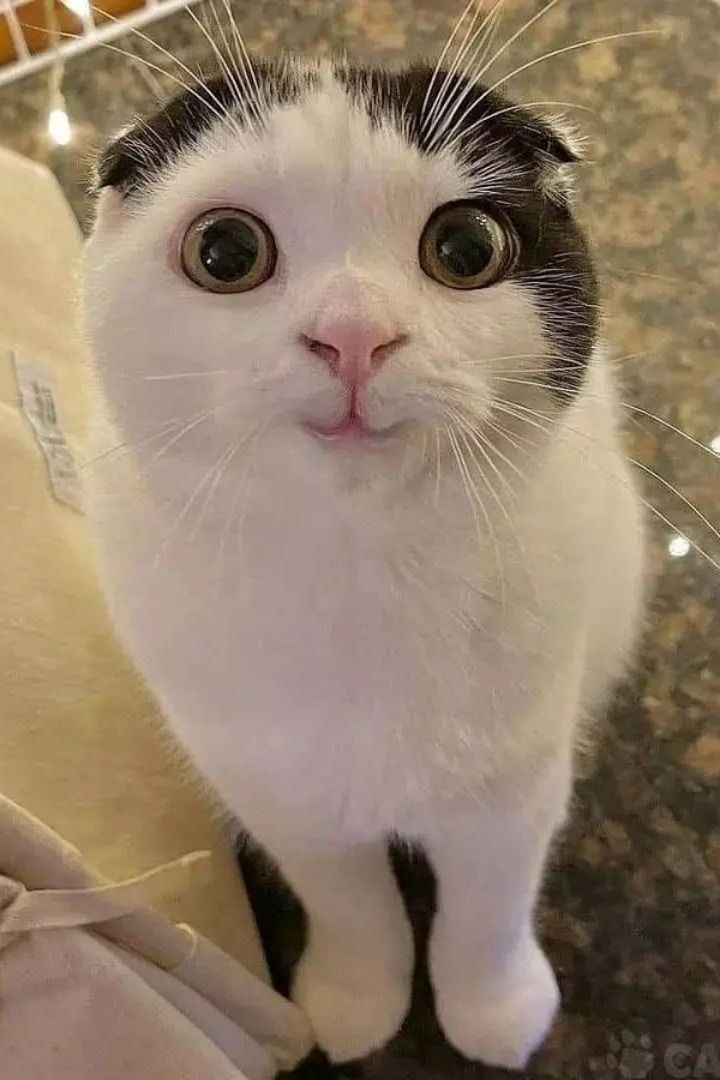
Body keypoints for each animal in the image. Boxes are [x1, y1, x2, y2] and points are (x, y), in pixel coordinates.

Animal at [81, 44, 643, 1071]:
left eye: (466, 248)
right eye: (226, 252)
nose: (352, 333)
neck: (359, 566)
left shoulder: (510, 793)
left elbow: (489, 912)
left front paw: (495, 1011)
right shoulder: (284, 799)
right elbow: (350, 907)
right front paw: (351, 1003)